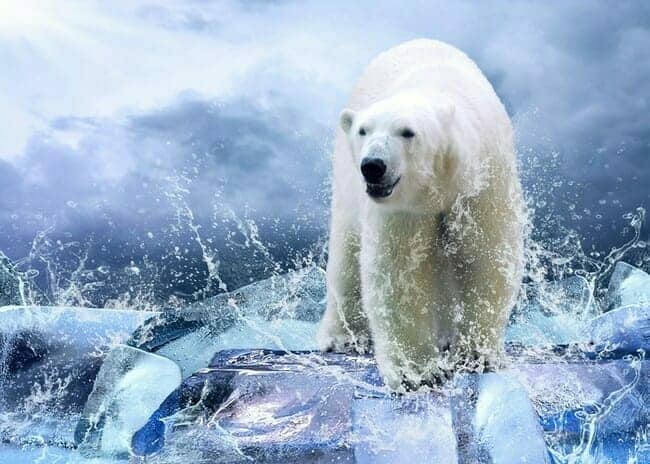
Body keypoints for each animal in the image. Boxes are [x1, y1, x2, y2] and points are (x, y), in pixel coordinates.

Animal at [317, 39, 525, 392]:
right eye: (363, 130)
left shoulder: (482, 182)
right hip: (346, 184)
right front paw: (418, 371)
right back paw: (342, 337)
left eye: (407, 132)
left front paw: (475, 355)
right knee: (346, 255)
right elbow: (399, 273)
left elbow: (487, 257)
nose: (373, 166)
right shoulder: (402, 208)